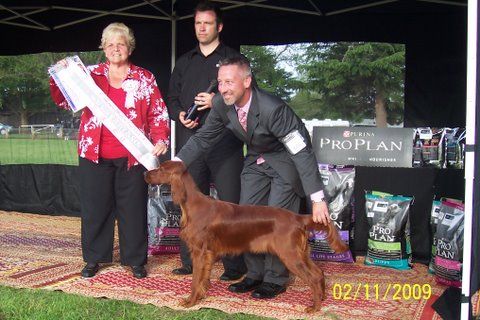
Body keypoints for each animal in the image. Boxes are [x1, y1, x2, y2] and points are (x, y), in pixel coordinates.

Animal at [144, 160, 346, 312]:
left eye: (161, 169)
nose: (145, 174)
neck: (193, 204)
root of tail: (298, 217)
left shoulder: (199, 252)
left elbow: (195, 280)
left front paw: (190, 301)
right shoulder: (207, 254)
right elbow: (203, 278)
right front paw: (200, 297)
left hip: (290, 255)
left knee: (313, 277)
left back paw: (314, 307)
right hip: (300, 253)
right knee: (319, 273)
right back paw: (322, 298)